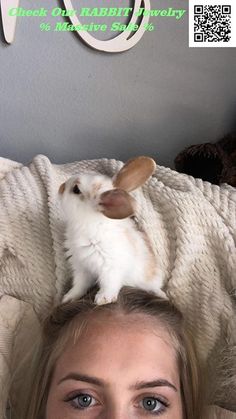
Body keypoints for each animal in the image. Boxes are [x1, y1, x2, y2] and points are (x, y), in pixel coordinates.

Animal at [58, 158, 166, 306]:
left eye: (76, 189)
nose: (60, 187)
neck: (89, 223)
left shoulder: (111, 268)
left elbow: (109, 284)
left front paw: (103, 299)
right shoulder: (82, 268)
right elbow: (79, 285)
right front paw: (68, 298)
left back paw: (161, 294)